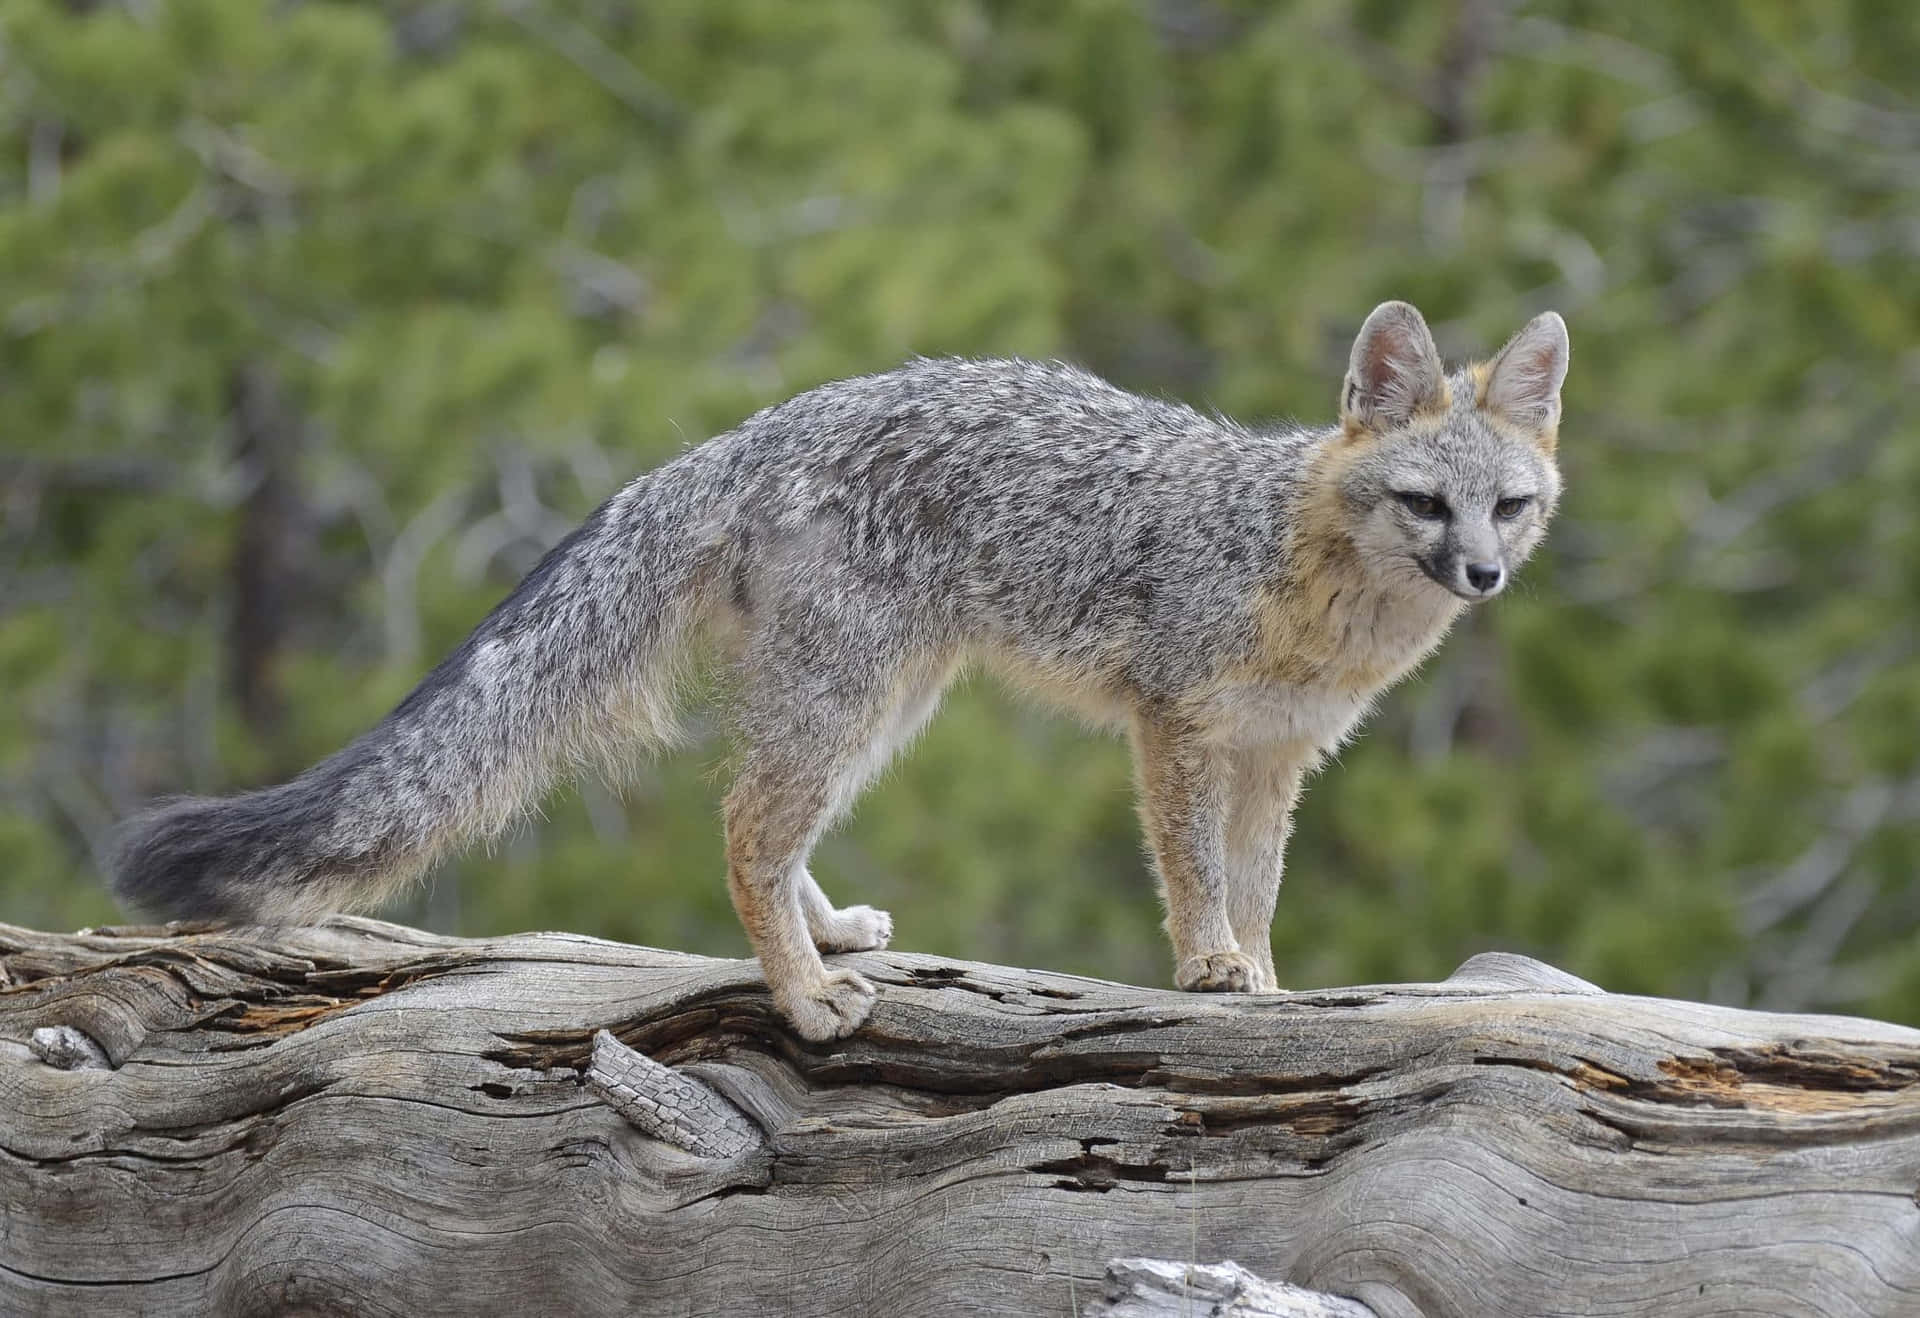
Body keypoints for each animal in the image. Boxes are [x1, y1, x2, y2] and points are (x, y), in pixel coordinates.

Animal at [112, 305, 1566, 1045]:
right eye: (1426, 503)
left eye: (1513, 506)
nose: (1485, 578)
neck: (1302, 574)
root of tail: (743, 433)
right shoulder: (1178, 727)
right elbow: (1197, 875)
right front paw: (1212, 969)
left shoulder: (1278, 755)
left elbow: (1258, 887)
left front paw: (1265, 975)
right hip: (857, 698)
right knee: (746, 828)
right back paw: (804, 994)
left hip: (886, 704)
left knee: (773, 825)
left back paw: (826, 940)